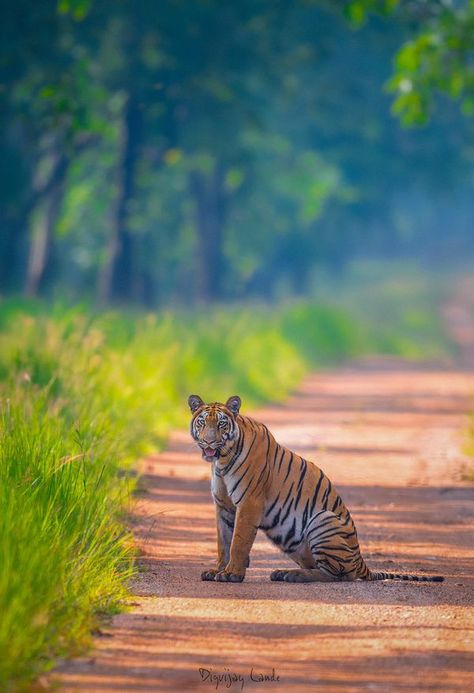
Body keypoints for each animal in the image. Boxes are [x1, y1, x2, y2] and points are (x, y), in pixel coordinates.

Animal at [188, 392, 444, 580]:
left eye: (221, 424)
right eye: (202, 423)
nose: (209, 441)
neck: (221, 460)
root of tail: (361, 561)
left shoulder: (249, 502)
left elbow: (238, 542)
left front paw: (232, 574)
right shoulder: (224, 506)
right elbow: (223, 542)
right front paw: (217, 570)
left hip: (323, 519)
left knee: (339, 575)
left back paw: (293, 576)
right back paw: (284, 573)